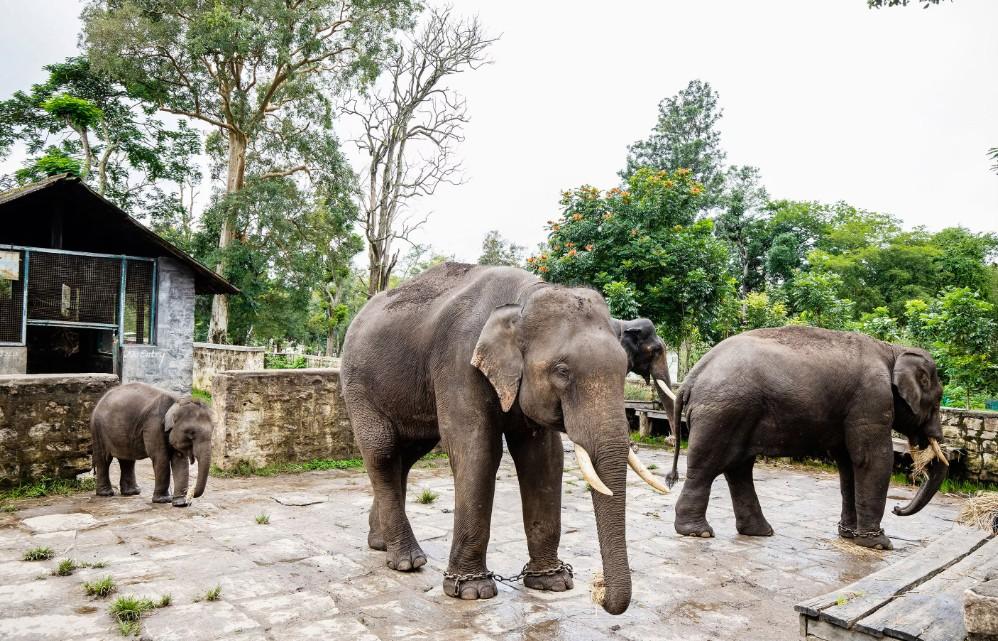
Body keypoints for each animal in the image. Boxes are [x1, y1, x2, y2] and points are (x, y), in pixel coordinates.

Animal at [340, 262, 670, 615]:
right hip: (358, 385)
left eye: (625, 369)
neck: (523, 300)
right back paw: (407, 561)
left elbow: (544, 459)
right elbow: (478, 450)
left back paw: (380, 544)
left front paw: (552, 583)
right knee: (383, 451)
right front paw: (472, 591)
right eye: (562, 371)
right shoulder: (460, 362)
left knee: (406, 455)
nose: (599, 592)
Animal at [666, 325, 948, 551]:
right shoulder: (872, 399)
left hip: (736, 413)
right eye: (936, 401)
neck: (892, 350)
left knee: (738, 467)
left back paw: (759, 532)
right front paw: (879, 544)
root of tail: (692, 376)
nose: (897, 509)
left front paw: (848, 536)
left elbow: (848, 464)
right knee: (708, 466)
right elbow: (872, 459)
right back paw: (699, 533)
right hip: (722, 411)